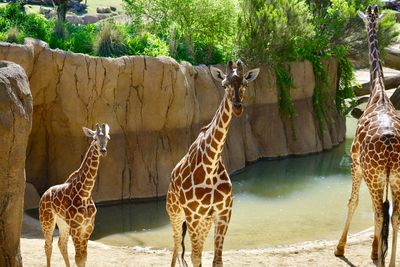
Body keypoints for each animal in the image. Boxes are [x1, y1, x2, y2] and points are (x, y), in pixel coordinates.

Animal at [38, 124, 110, 267]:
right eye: (94, 139)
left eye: (107, 138)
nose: (103, 150)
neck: (85, 193)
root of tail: (44, 194)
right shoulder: (76, 227)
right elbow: (79, 259)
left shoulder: (88, 227)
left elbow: (83, 258)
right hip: (47, 221)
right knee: (48, 245)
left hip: (63, 223)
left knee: (61, 244)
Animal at [166, 60, 260, 267]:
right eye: (224, 85)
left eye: (244, 84)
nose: (237, 107)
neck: (210, 166)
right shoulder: (193, 215)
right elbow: (195, 257)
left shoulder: (223, 213)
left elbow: (217, 260)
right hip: (175, 214)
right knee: (176, 245)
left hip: (204, 222)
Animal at [334, 5, 400, 266]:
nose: (369, 21)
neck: (378, 92)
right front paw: (374, 249)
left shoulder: (355, 162)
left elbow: (352, 201)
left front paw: (340, 248)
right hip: (395, 177)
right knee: (394, 215)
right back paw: (388, 261)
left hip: (374, 175)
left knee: (380, 212)